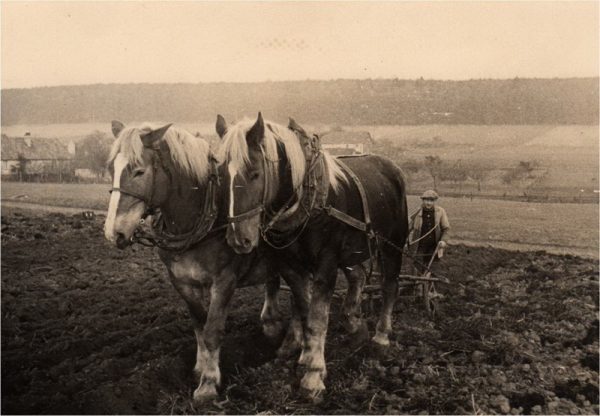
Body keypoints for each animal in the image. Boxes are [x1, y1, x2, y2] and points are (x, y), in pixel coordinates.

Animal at [216, 114, 408, 400]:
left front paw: (313, 376)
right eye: (220, 176)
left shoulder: (326, 263)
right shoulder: (290, 264)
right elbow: (303, 308)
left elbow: (317, 318)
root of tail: (392, 167)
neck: (306, 198)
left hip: (392, 244)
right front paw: (302, 354)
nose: (239, 239)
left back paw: (381, 337)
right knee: (358, 276)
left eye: (254, 174)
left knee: (390, 286)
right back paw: (354, 323)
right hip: (354, 251)